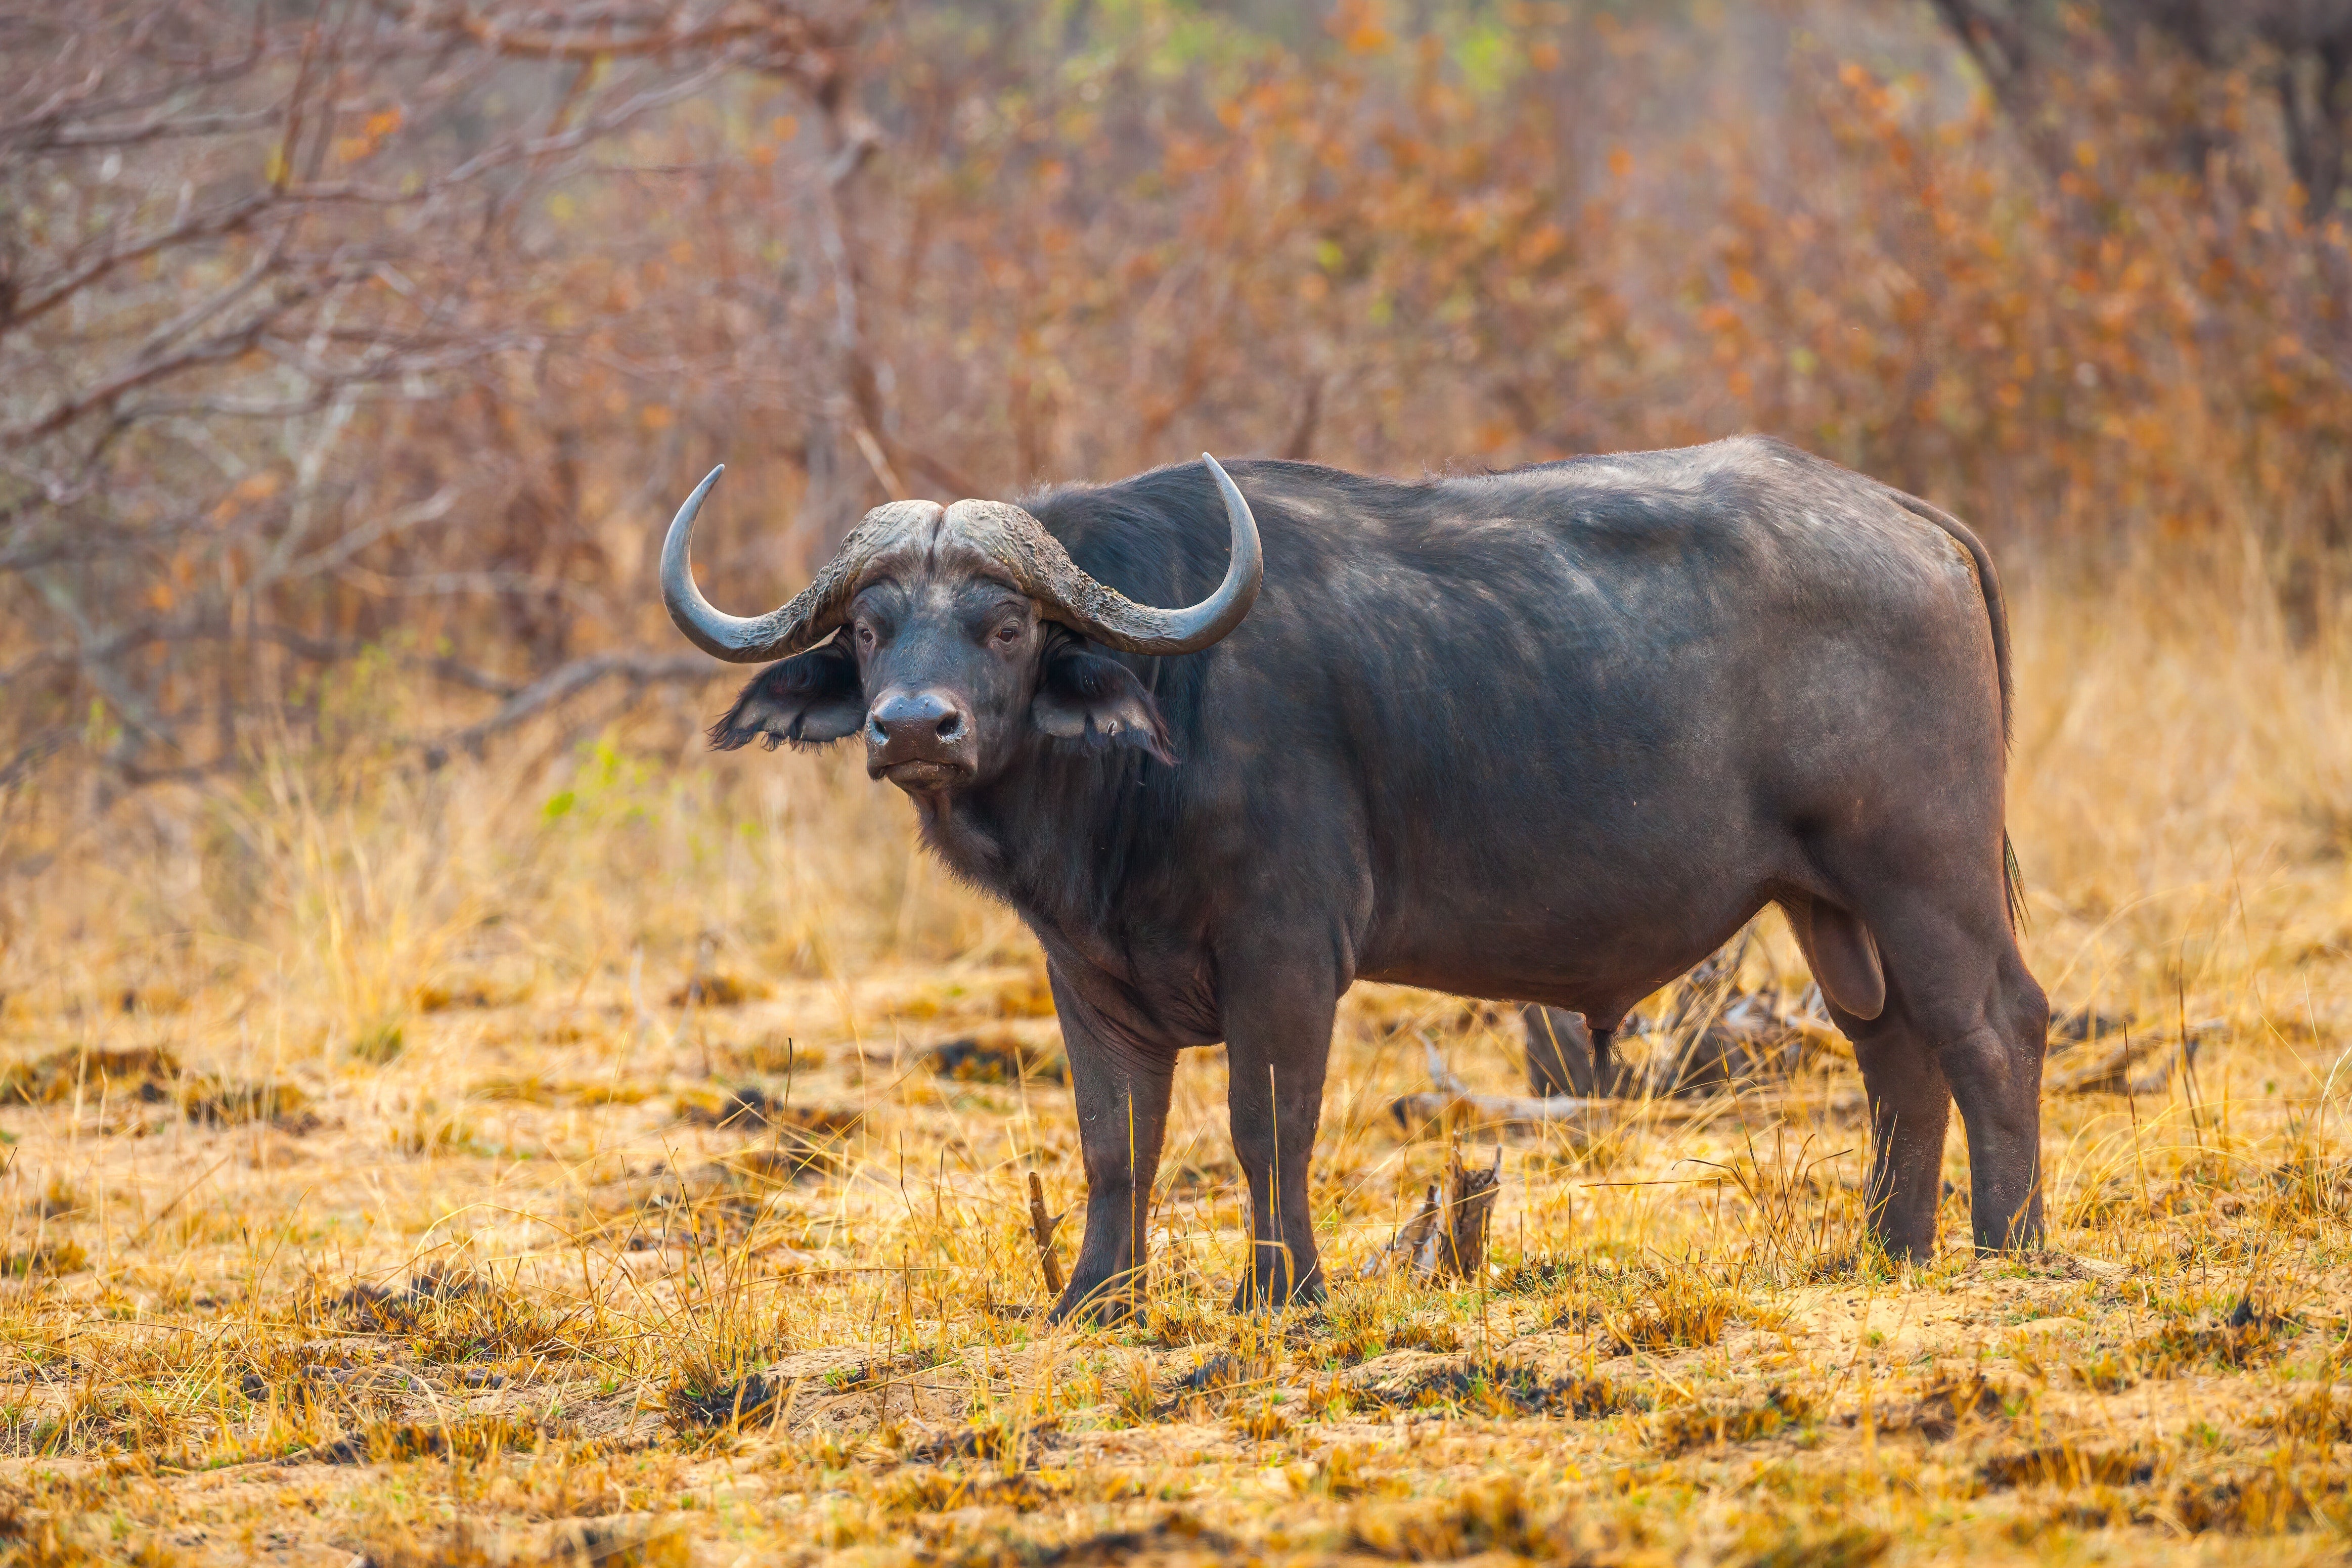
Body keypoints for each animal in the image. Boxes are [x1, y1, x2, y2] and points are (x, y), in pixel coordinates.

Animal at [658, 435, 2042, 1316]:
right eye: (868, 628)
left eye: (1005, 625)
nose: (913, 728)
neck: (1159, 730)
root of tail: (1909, 520)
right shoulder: (1087, 976)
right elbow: (1116, 1141)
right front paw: (1094, 1300)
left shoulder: (1284, 955)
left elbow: (1266, 1124)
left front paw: (1279, 1292)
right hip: (1830, 905)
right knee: (1893, 1051)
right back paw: (1887, 1252)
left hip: (1923, 872)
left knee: (1993, 1027)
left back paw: (2008, 1244)